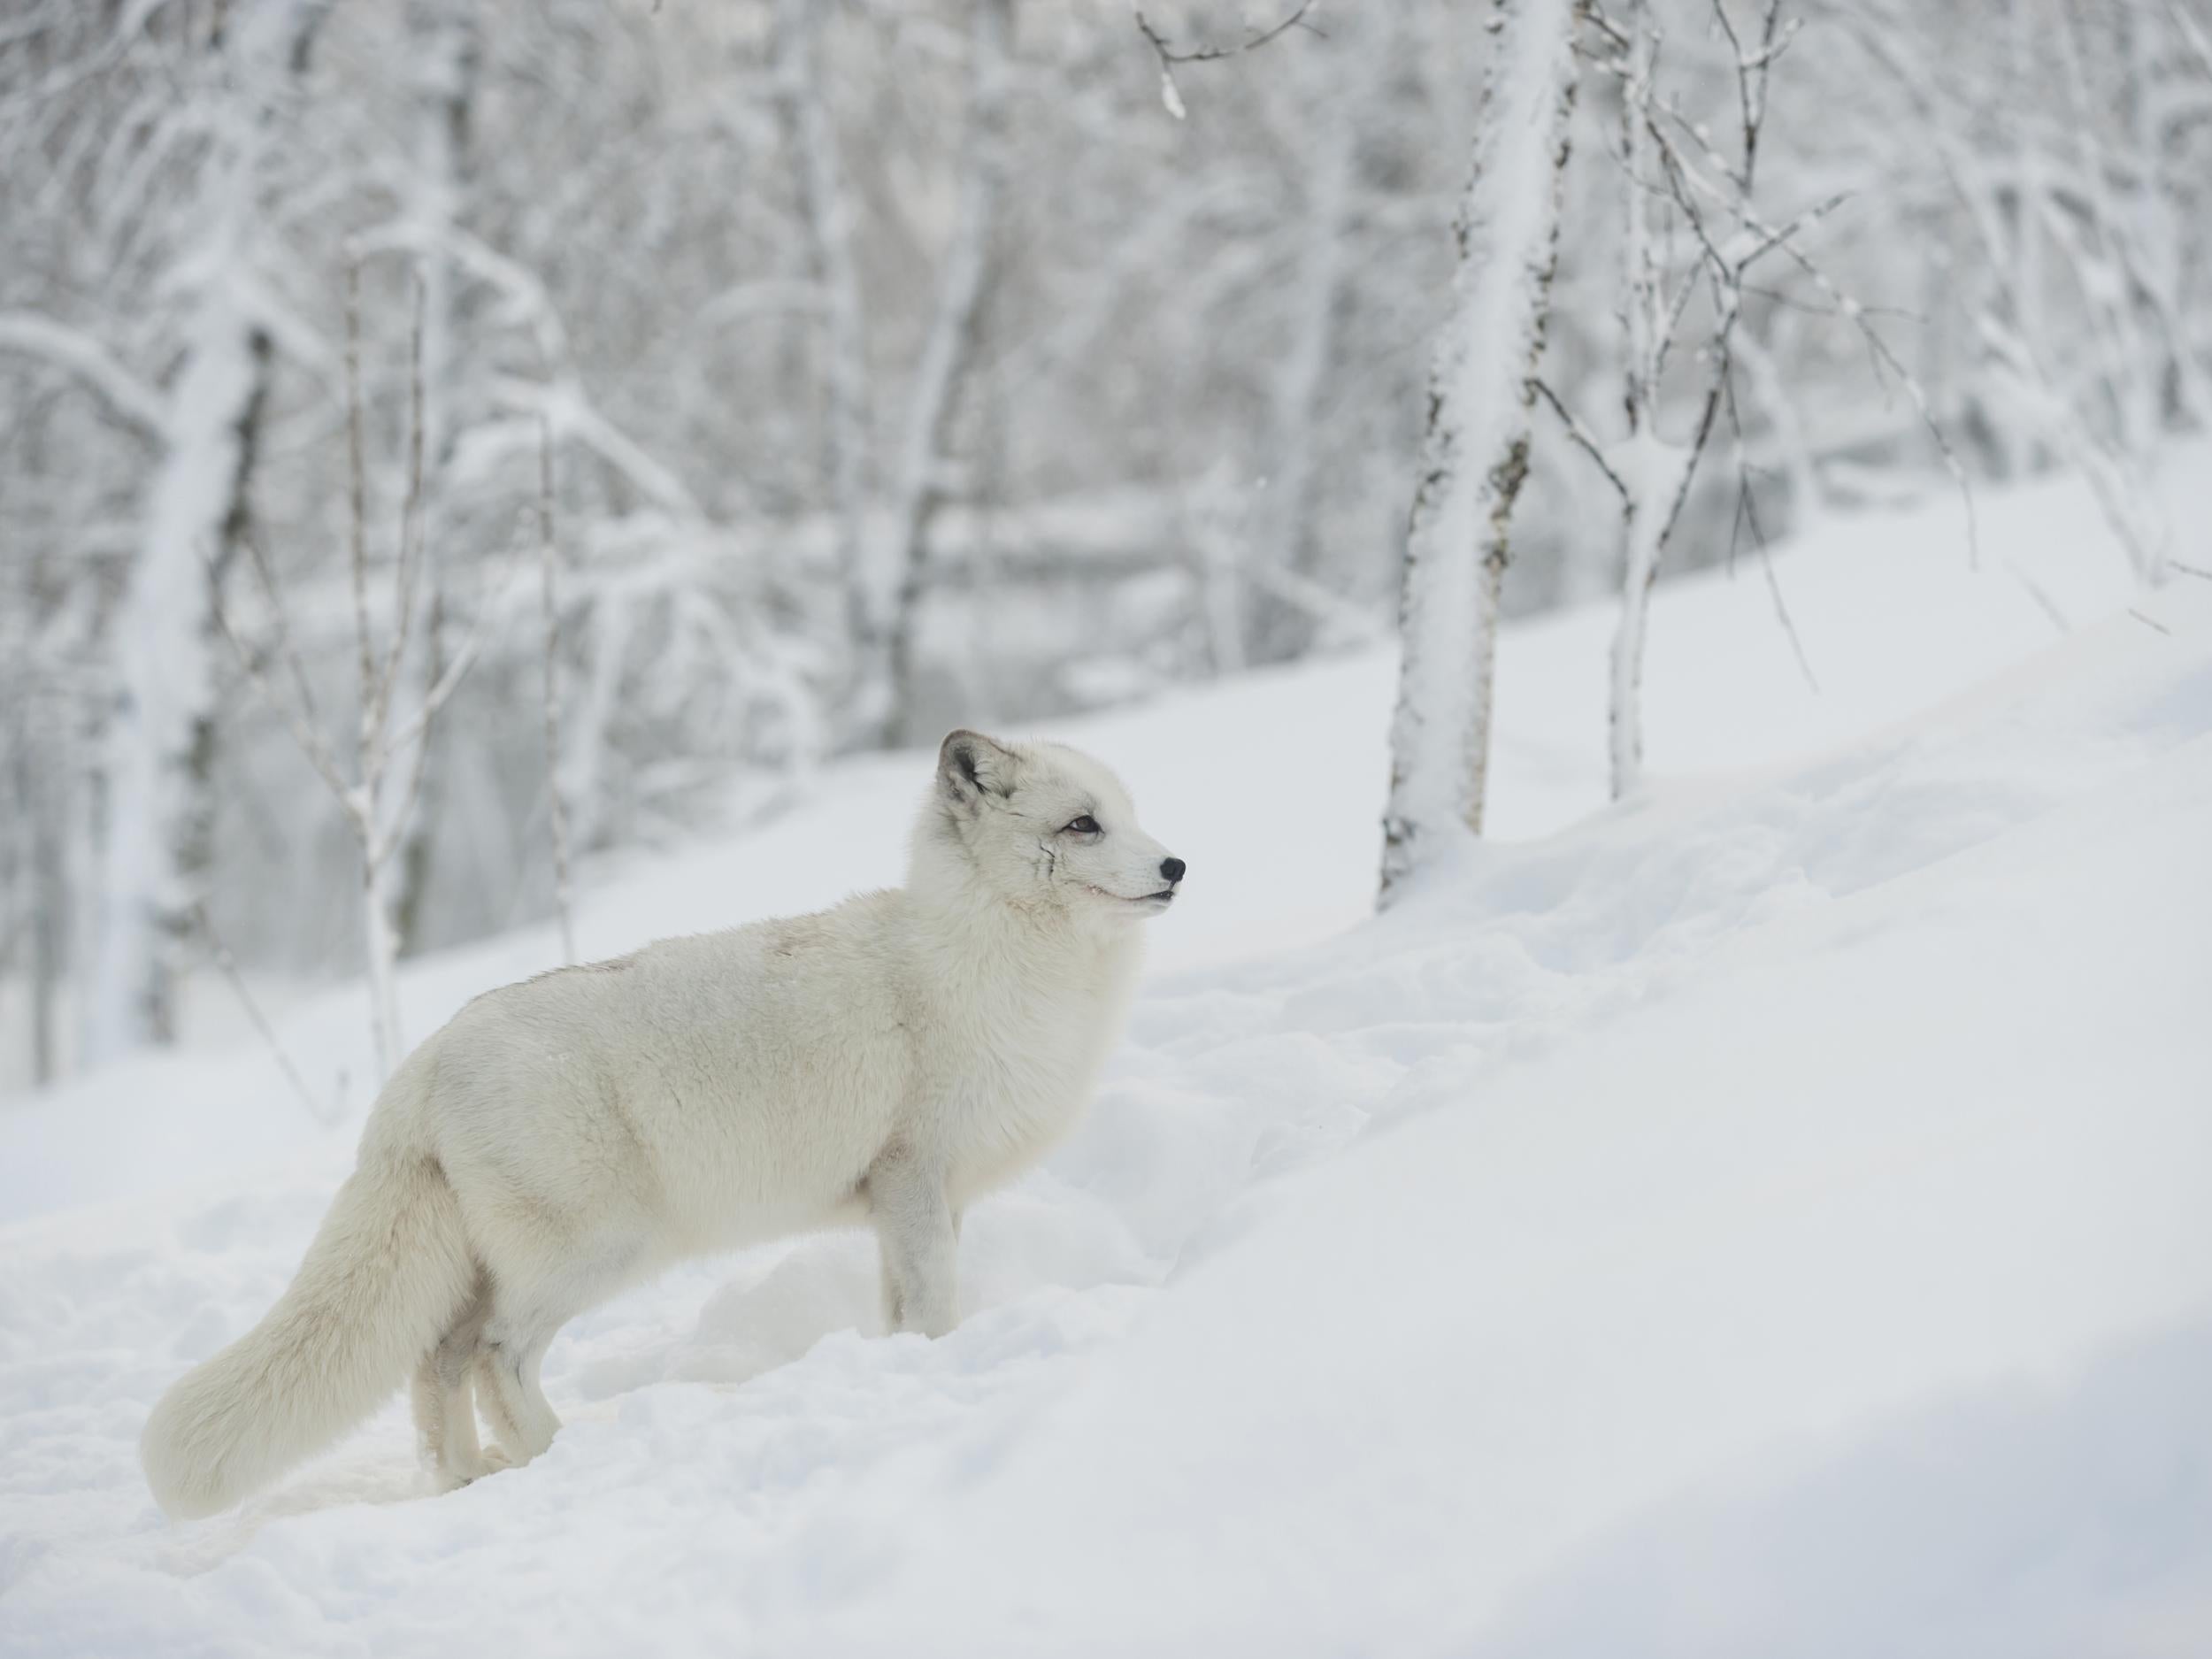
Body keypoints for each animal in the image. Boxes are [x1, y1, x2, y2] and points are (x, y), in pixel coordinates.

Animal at [144, 734, 1186, 1531]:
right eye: (1082, 824)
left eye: (1129, 816)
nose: (1177, 866)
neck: (986, 960)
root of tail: (422, 1064)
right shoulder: (913, 1177)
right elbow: (932, 1307)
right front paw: (934, 1366)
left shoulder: (917, 1203)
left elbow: (900, 1309)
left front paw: (899, 1365)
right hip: (594, 1253)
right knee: (493, 1355)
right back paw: (550, 1454)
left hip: (486, 1269)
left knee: (435, 1364)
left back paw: (470, 1477)